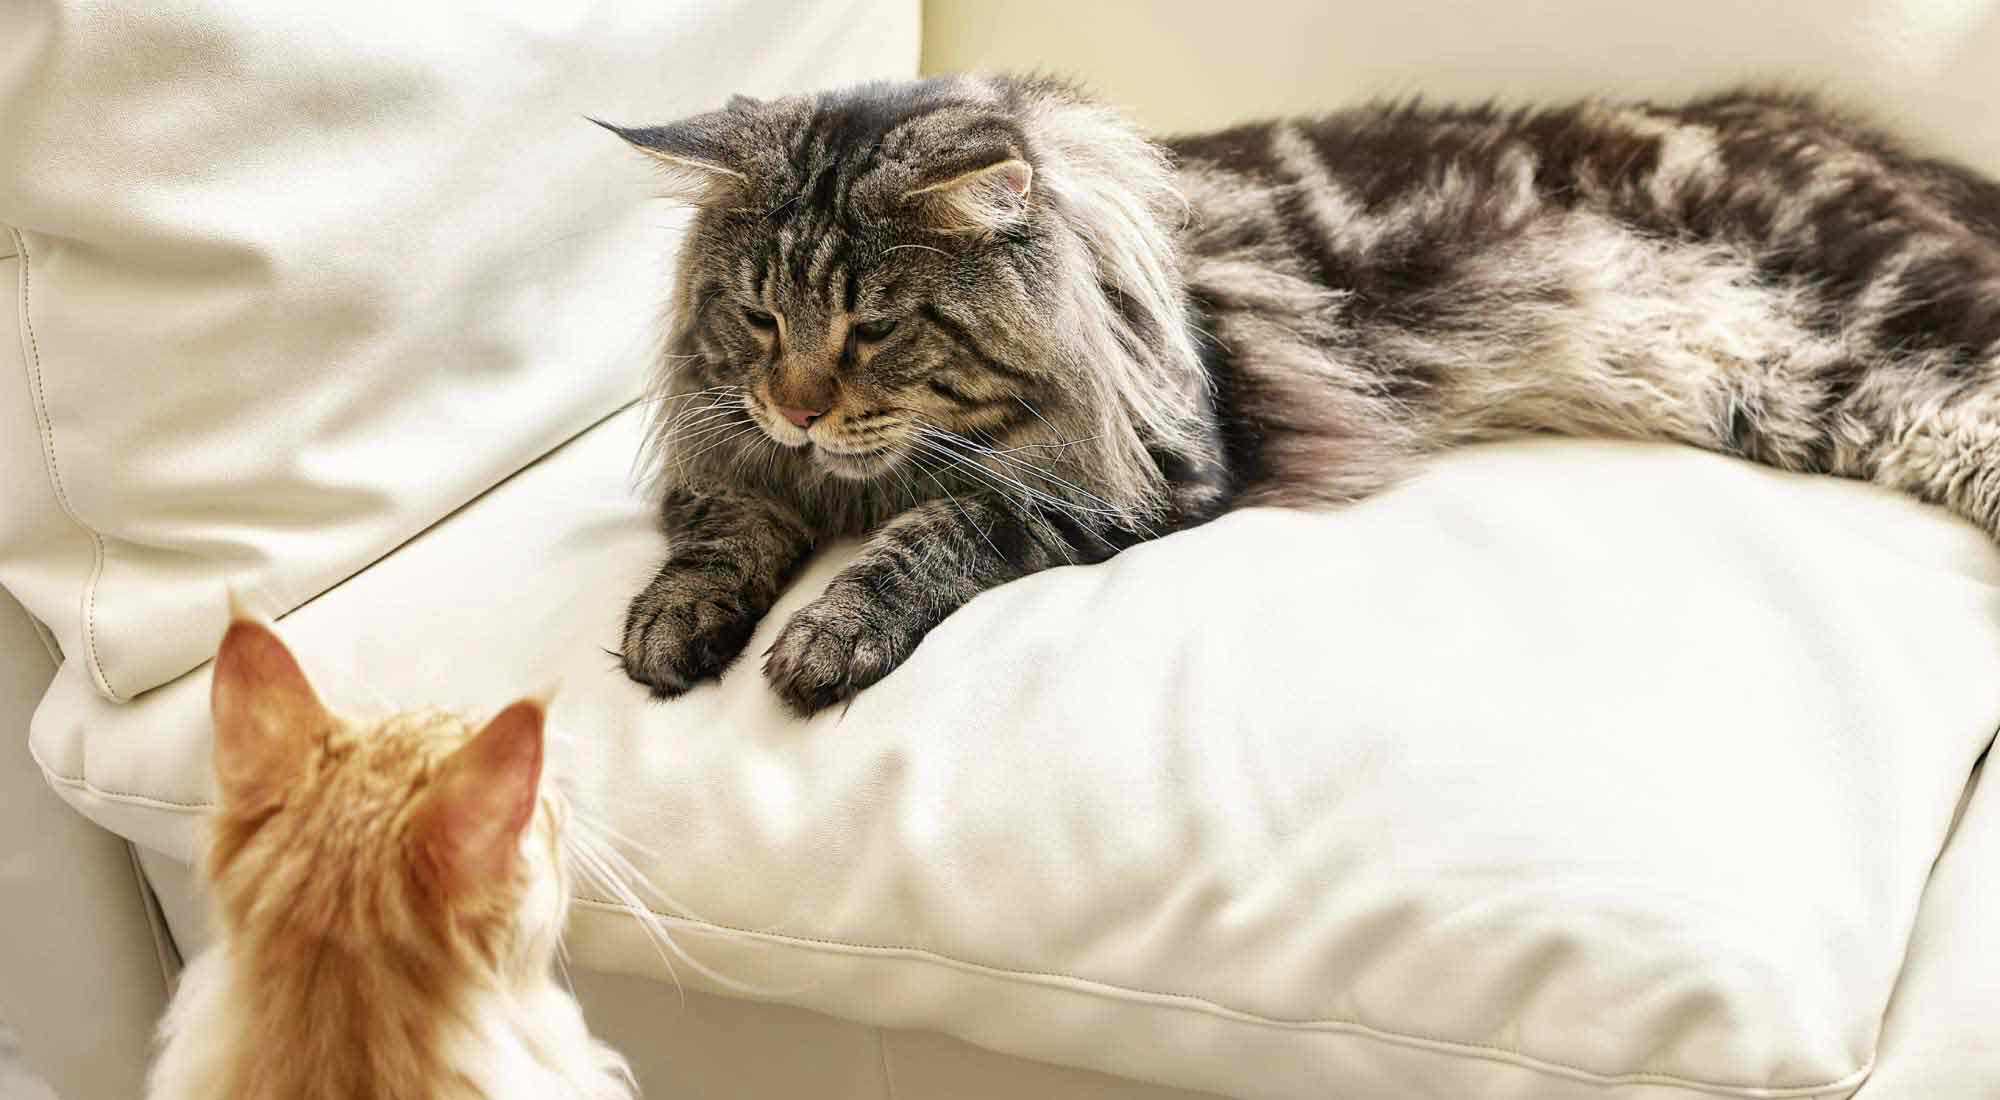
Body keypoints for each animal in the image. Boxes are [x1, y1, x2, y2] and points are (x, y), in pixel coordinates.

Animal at [604, 77, 2000, 716]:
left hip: (1888, 310)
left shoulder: (1141, 473)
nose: (795, 404)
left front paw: (826, 633)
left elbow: (937, 532)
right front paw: (676, 621)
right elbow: (721, 528)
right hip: (1812, 391)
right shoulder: (739, 457)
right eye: (758, 316)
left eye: (876, 327)